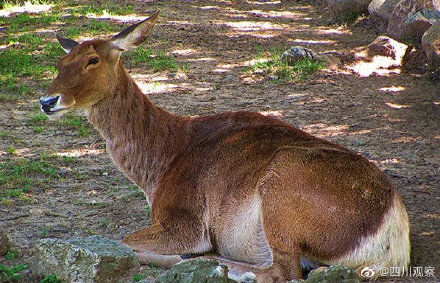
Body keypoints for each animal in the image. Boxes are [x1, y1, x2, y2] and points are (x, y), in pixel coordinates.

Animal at [39, 11, 410, 282]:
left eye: (92, 60)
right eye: (59, 63)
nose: (46, 100)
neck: (159, 166)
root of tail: (392, 239)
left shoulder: (185, 222)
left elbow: (123, 241)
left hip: (283, 190)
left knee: (284, 271)